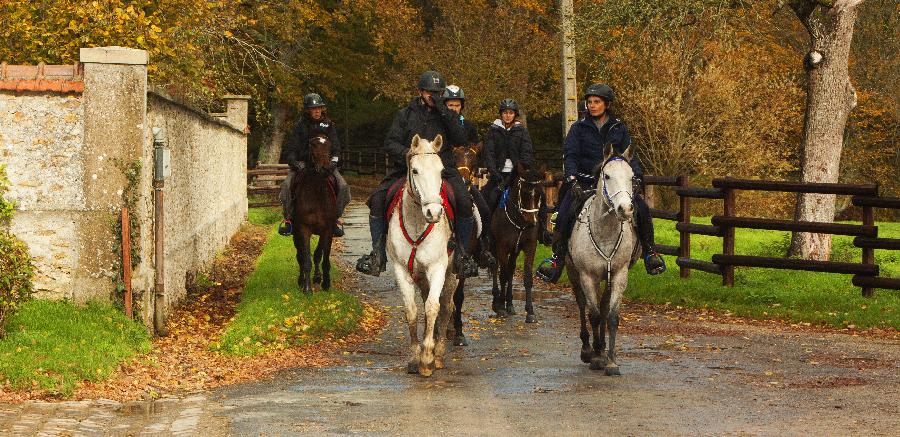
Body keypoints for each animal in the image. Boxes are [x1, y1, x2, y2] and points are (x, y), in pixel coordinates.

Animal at [294, 133, 340, 292]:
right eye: (312, 145)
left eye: (329, 145)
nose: (326, 169)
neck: (316, 193)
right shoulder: (303, 229)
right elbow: (306, 258)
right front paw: (307, 288)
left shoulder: (327, 230)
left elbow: (321, 256)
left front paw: (325, 282)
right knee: (300, 255)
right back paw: (301, 280)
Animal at [384, 133, 458, 374]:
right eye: (415, 170)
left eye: (441, 171)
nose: (433, 212)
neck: (417, 222)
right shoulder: (401, 270)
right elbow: (412, 311)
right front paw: (415, 357)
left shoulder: (437, 268)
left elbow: (434, 308)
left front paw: (427, 358)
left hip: (453, 274)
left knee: (447, 307)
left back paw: (439, 353)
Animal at [488, 162, 544, 322]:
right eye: (524, 193)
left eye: (540, 194)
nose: (532, 223)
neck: (519, 220)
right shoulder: (502, 247)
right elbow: (502, 275)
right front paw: (500, 307)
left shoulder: (530, 246)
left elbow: (526, 277)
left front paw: (530, 312)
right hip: (494, 246)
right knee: (496, 267)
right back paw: (497, 301)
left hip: (515, 250)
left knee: (511, 270)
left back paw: (510, 304)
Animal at [568, 143, 644, 374]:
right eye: (607, 175)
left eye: (632, 177)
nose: (625, 209)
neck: (605, 232)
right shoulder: (587, 276)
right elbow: (592, 314)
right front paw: (595, 358)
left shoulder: (619, 275)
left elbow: (611, 316)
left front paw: (610, 360)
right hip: (572, 272)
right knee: (581, 304)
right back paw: (588, 349)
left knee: (602, 307)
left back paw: (601, 348)